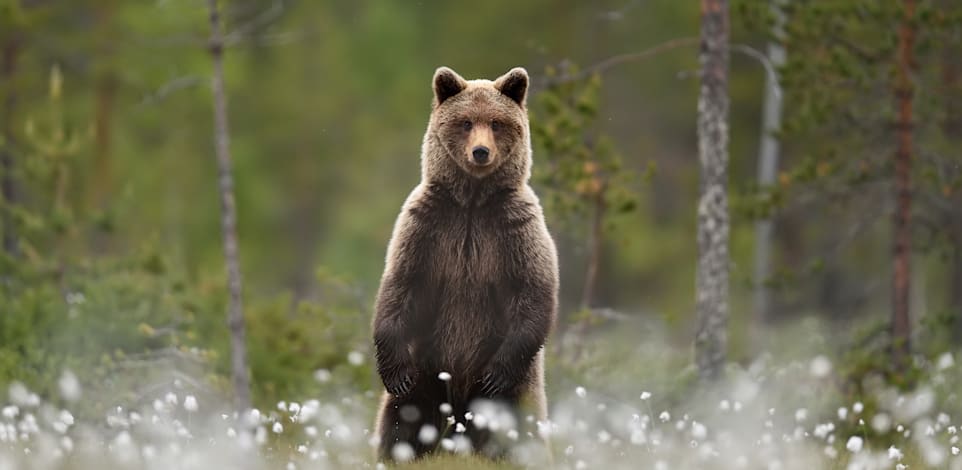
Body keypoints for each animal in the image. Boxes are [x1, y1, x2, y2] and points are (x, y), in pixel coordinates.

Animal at [372, 67, 560, 462]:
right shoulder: (427, 226)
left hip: (519, 391)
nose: (481, 151)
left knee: (517, 429)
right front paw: (394, 371)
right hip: (427, 371)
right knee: (401, 421)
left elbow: (533, 291)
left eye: (497, 123)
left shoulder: (514, 228)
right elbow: (400, 285)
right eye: (466, 122)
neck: (472, 203)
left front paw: (495, 374)